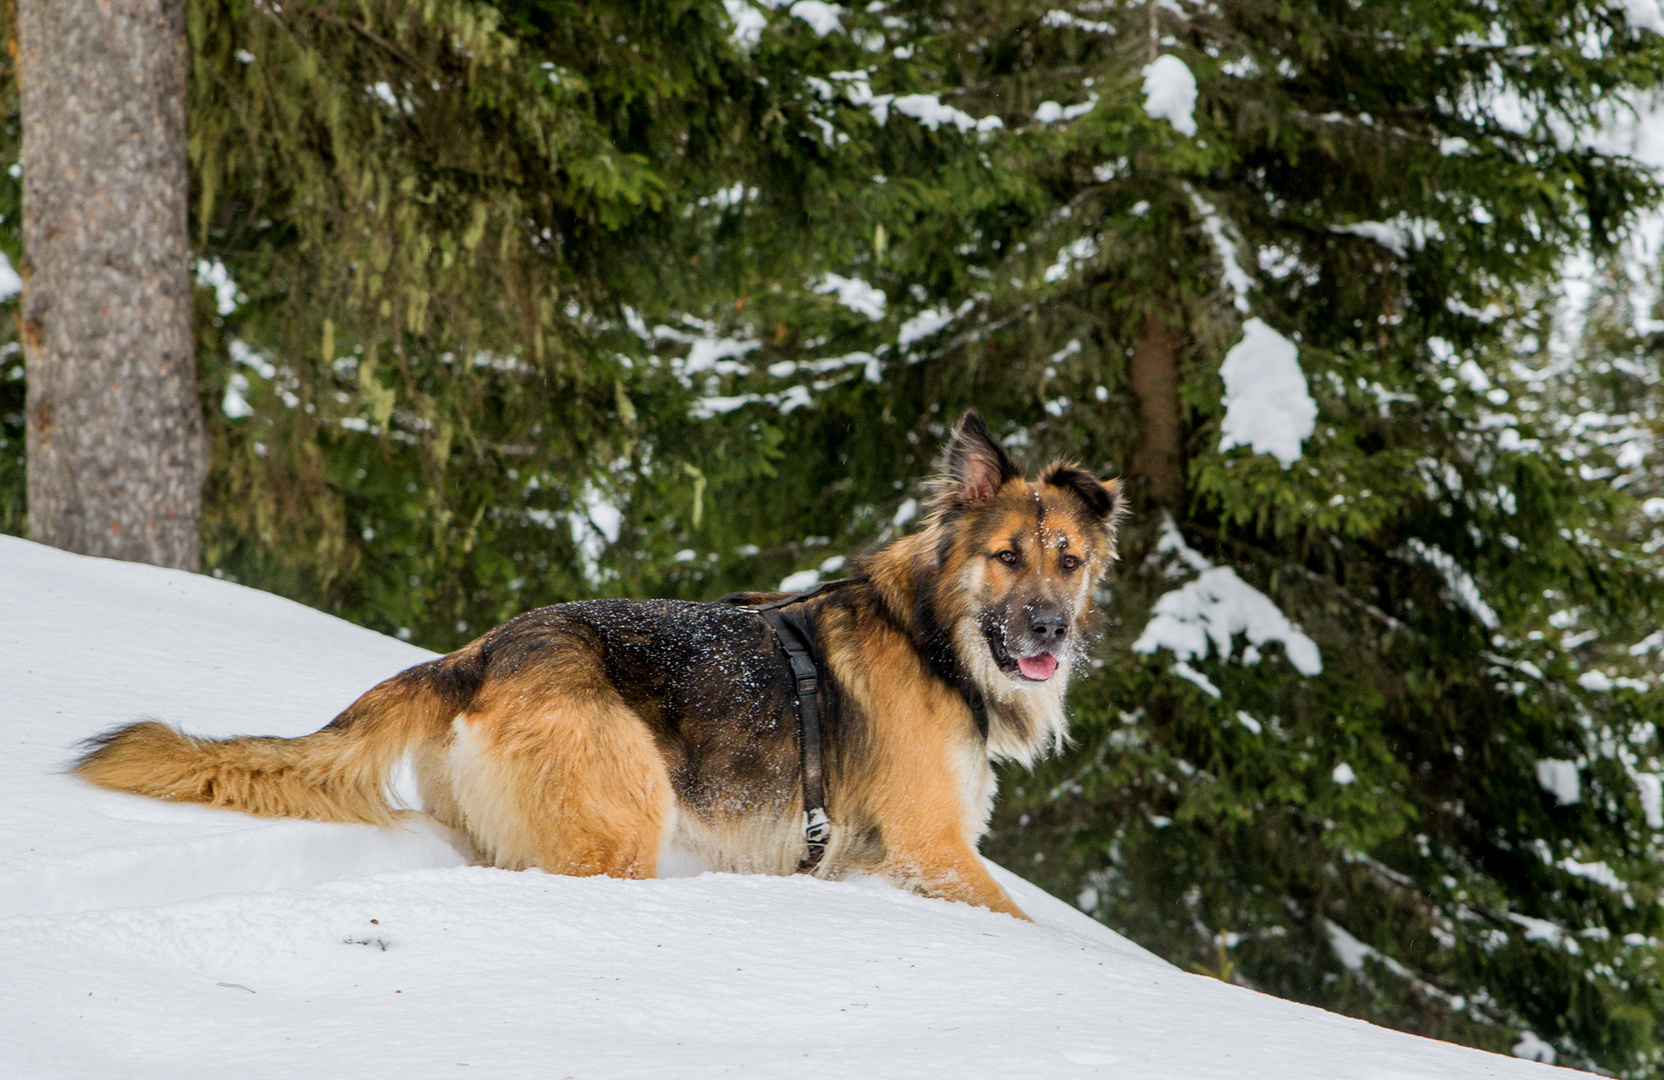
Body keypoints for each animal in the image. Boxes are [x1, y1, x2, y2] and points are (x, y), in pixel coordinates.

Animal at [71, 411, 1124, 918]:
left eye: (1069, 561)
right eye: (1007, 558)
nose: (1046, 632)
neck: (935, 635)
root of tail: (478, 653)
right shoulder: (933, 850)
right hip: (621, 823)